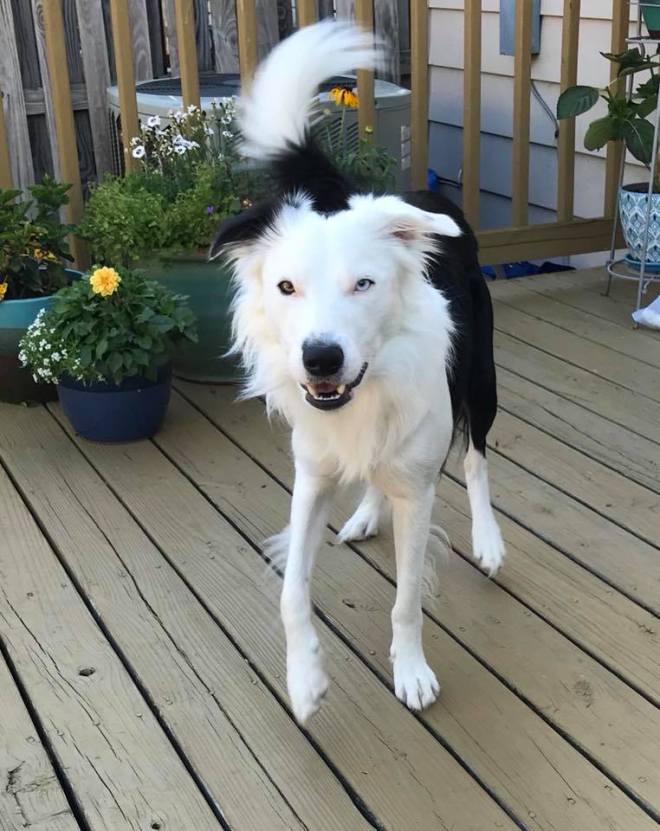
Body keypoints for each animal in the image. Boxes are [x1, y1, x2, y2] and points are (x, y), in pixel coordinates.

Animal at [209, 20, 505, 724]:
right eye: (285, 287)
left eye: (364, 284)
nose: (321, 358)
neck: (362, 393)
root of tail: (417, 195)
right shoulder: (310, 478)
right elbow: (292, 593)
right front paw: (304, 679)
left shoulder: (420, 491)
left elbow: (406, 598)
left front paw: (411, 671)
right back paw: (368, 513)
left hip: (480, 380)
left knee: (477, 456)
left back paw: (488, 540)